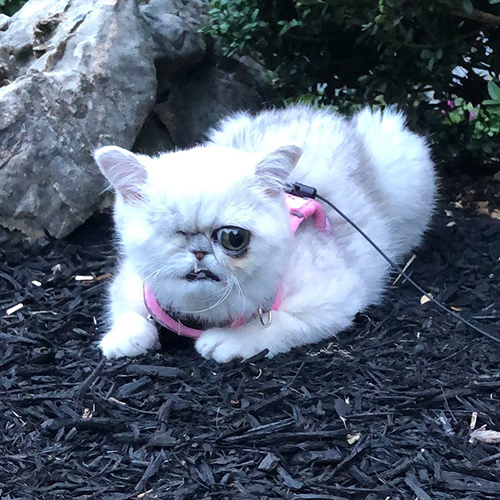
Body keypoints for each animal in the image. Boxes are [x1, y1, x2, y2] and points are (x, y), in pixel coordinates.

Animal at [94, 106, 438, 364]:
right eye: (173, 232)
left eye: (233, 237)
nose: (200, 251)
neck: (205, 310)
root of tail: (334, 116)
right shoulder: (131, 280)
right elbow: (126, 307)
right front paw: (125, 337)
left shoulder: (338, 297)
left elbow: (279, 324)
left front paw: (229, 340)